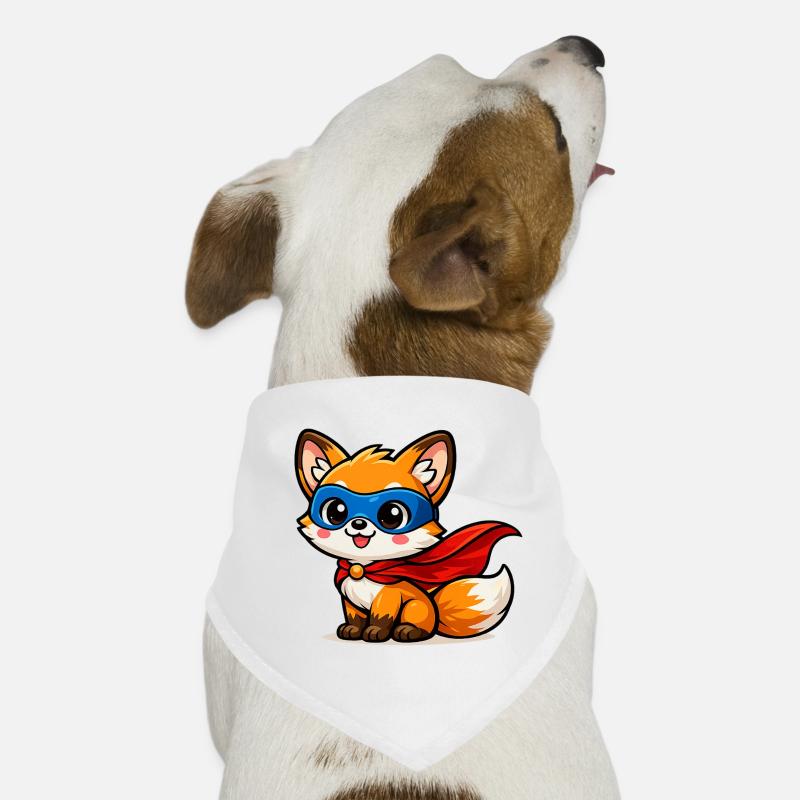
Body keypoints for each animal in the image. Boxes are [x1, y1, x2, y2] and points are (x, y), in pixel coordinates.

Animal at [295, 428, 520, 642]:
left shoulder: (389, 598)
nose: (359, 522)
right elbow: (355, 619)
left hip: (415, 607)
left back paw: (408, 631)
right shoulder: (350, 602)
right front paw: (352, 631)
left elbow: (380, 618)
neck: (363, 569)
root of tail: (436, 617)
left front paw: (375, 632)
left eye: (392, 514)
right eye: (336, 511)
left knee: (419, 626)